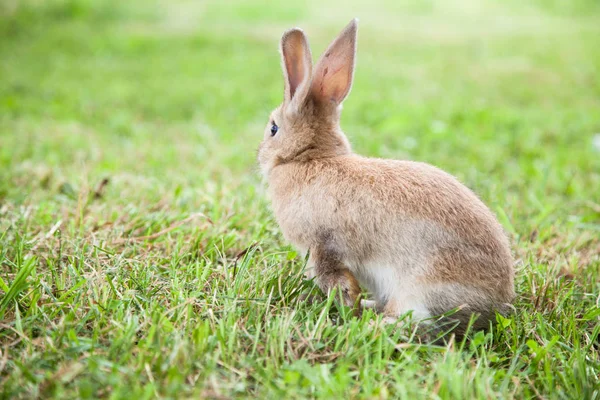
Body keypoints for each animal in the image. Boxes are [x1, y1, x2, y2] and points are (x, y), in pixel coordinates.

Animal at [258, 18, 516, 338]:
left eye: (273, 128)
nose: (260, 157)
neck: (310, 158)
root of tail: (495, 306)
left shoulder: (321, 247)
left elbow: (338, 282)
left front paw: (345, 312)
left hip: (421, 289)